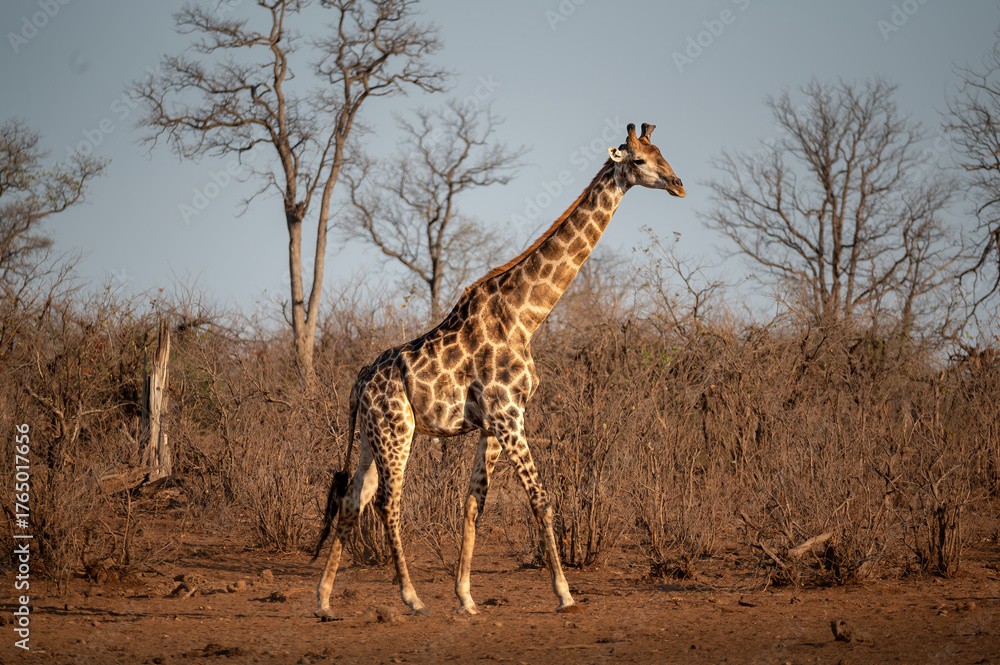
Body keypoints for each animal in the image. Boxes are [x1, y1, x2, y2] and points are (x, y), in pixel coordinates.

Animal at [314, 122, 684, 618]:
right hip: (398, 431)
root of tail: (358, 383)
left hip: (372, 438)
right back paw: (411, 598)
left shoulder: (493, 423)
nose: (679, 184)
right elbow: (540, 499)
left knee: (355, 498)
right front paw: (564, 594)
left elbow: (474, 503)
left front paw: (467, 598)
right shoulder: (509, 415)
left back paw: (324, 599)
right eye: (641, 160)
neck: (526, 315)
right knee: (388, 503)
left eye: (663, 152)